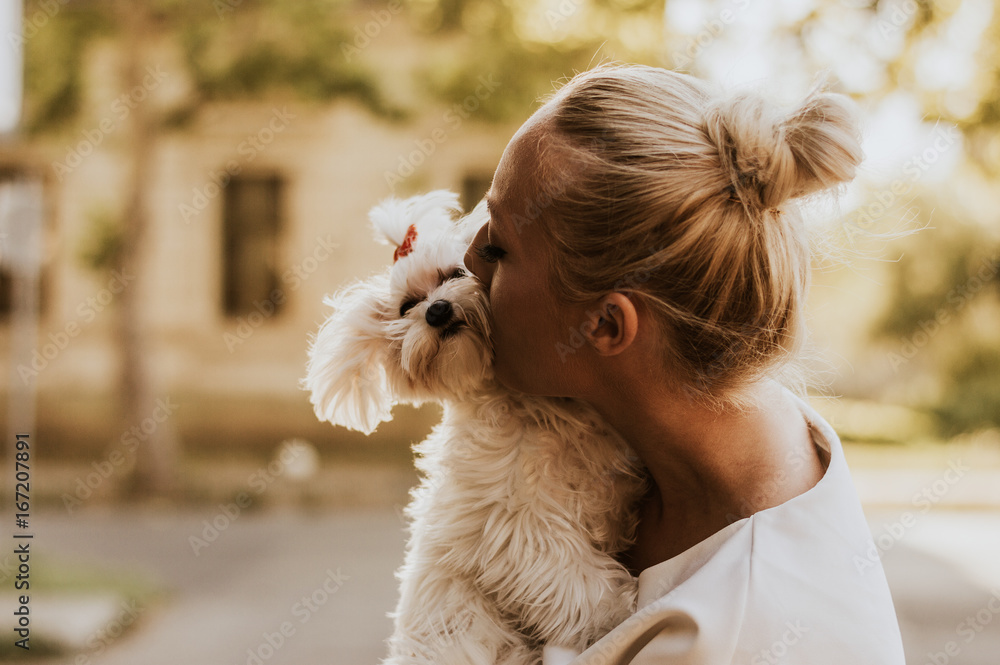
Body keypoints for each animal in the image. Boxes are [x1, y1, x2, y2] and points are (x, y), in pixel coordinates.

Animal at [304, 189, 648, 660]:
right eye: (406, 307)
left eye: (455, 273)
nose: (436, 311)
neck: (533, 406)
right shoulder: (516, 524)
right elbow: (567, 573)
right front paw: (612, 612)